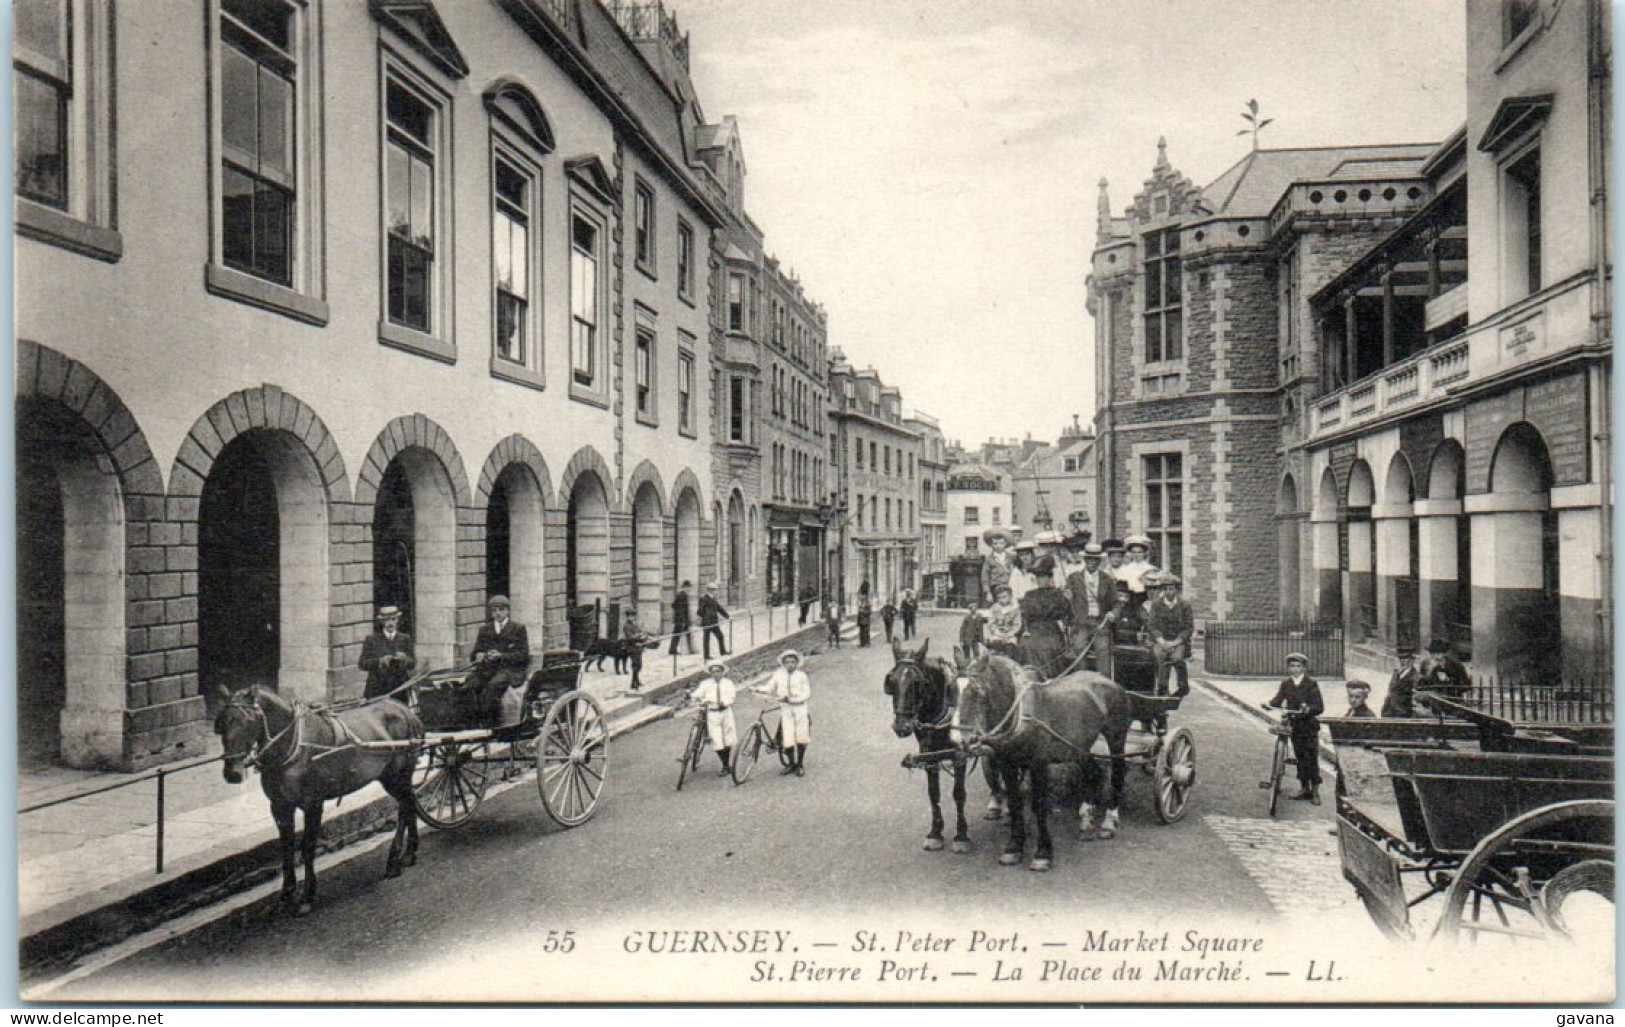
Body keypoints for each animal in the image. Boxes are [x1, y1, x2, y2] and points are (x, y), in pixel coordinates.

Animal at [214, 682, 425, 916]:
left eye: (249, 721)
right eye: (222, 722)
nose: (232, 773)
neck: (293, 744)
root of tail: (405, 710)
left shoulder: (312, 804)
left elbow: (307, 848)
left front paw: (307, 896)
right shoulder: (280, 807)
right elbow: (286, 850)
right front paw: (286, 896)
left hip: (396, 776)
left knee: (405, 807)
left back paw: (396, 860)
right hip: (393, 778)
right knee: (410, 803)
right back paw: (407, 854)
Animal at [884, 637, 968, 851]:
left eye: (917, 683)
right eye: (891, 681)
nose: (901, 726)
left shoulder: (960, 755)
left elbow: (959, 793)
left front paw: (961, 835)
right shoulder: (928, 754)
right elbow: (933, 793)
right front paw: (935, 833)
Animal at [949, 653, 1137, 871]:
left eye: (979, 692)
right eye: (951, 689)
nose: (957, 739)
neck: (1020, 716)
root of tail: (1109, 680)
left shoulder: (1038, 765)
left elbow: (1038, 806)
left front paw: (1043, 853)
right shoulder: (1008, 765)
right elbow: (1015, 803)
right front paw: (1013, 848)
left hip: (1116, 736)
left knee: (1118, 772)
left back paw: (1109, 820)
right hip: (1079, 746)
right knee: (1093, 773)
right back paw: (1086, 820)